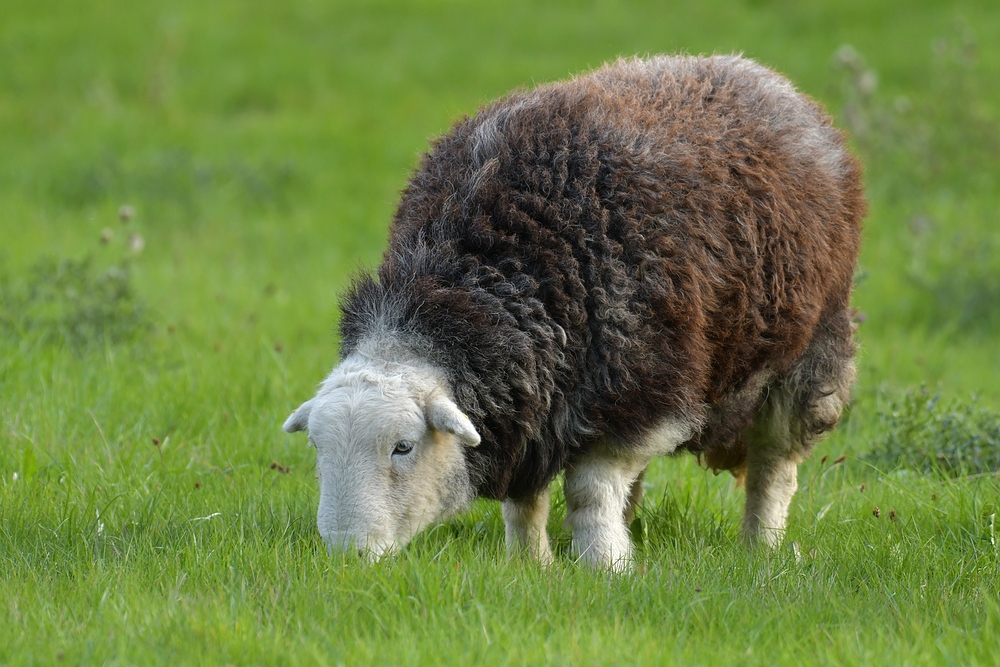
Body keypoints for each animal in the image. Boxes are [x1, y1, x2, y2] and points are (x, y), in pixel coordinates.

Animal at [284, 54, 868, 572]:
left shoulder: (645, 394)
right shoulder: (529, 404)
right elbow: (525, 500)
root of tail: (759, 75)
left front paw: (605, 566)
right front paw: (530, 564)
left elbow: (589, 491)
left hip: (810, 351)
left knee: (774, 466)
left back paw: (761, 549)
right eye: (316, 447)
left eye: (403, 447)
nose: (348, 558)